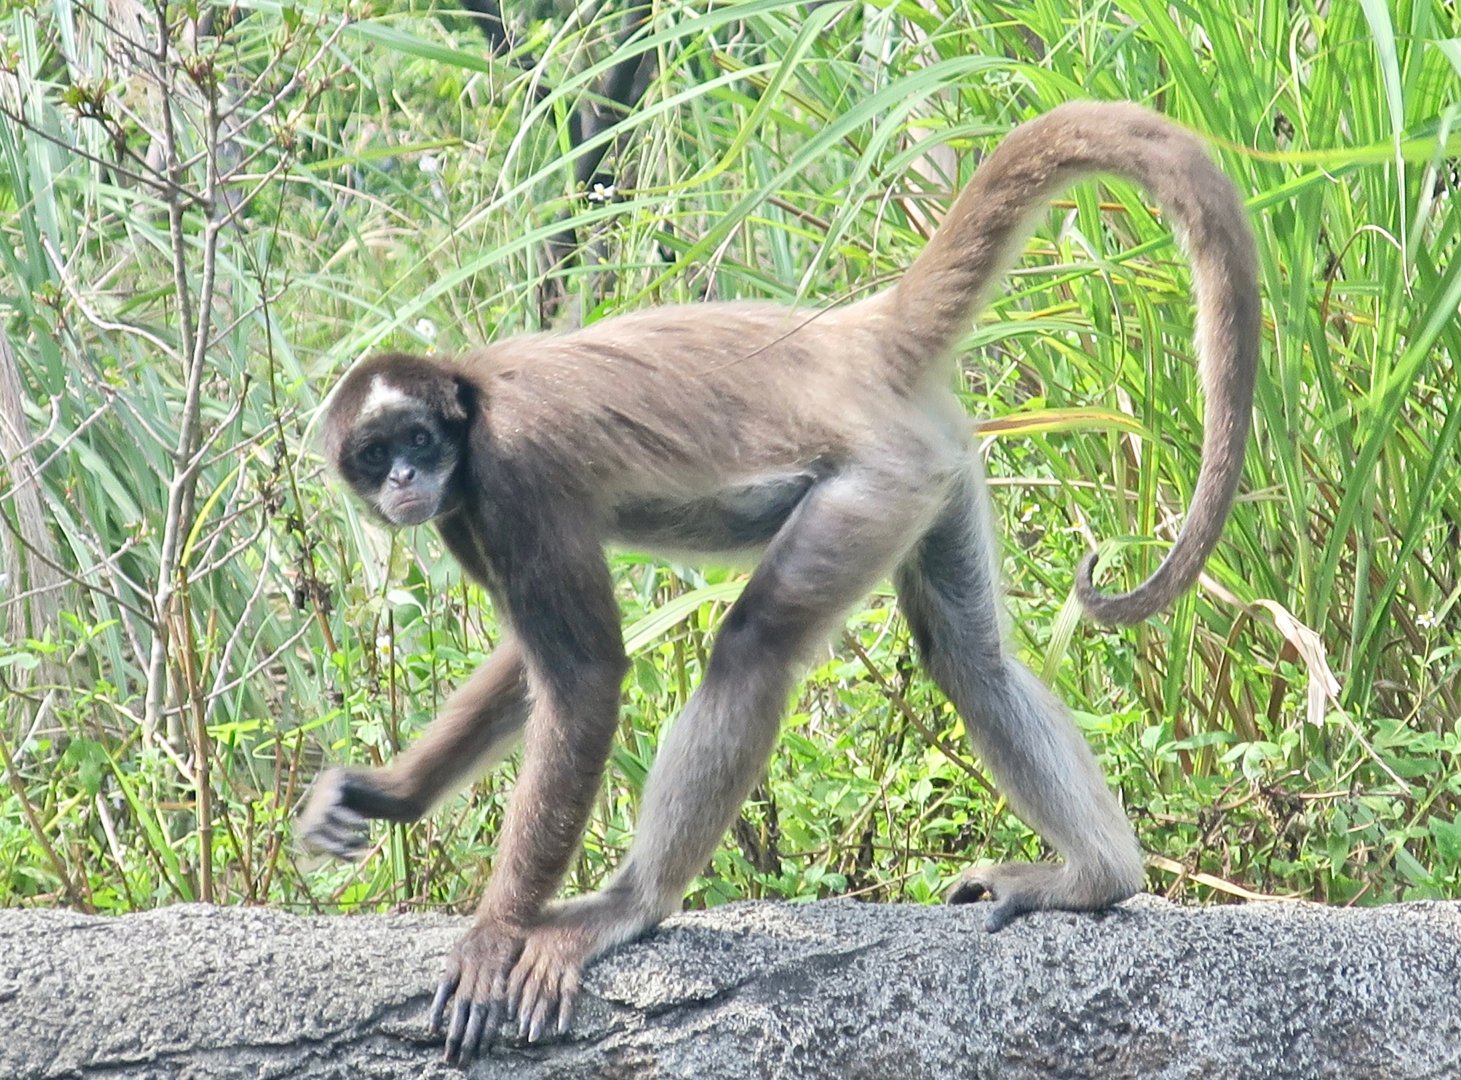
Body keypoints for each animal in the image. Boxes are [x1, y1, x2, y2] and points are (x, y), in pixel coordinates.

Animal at [299, 100, 1260, 1062]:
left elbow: (585, 677)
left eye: (419, 439)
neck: (474, 400)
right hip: (935, 463)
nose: (404, 481)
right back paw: (1097, 877)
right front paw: (387, 794)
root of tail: (855, 336)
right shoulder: (465, 511)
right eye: (376, 455)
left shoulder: (509, 471)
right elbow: (530, 668)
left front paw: (497, 935)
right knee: (969, 659)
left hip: (876, 479)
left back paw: (632, 904)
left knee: (754, 649)